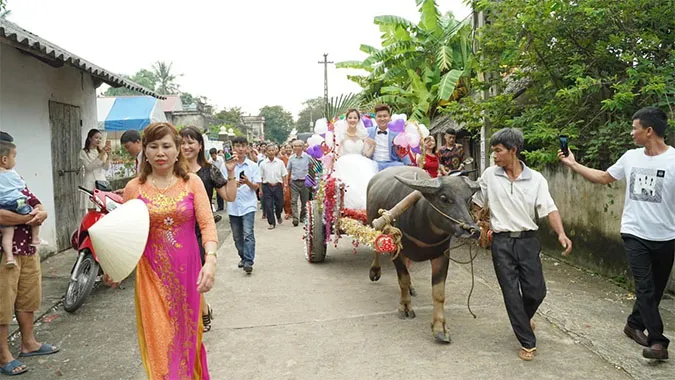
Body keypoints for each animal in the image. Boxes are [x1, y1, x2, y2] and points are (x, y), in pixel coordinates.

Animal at [370, 168, 480, 342]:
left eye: (468, 198)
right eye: (444, 198)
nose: (472, 231)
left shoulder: (441, 255)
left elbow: (439, 292)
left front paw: (440, 327)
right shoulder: (396, 251)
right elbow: (403, 279)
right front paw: (405, 307)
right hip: (374, 225)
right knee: (375, 249)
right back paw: (375, 271)